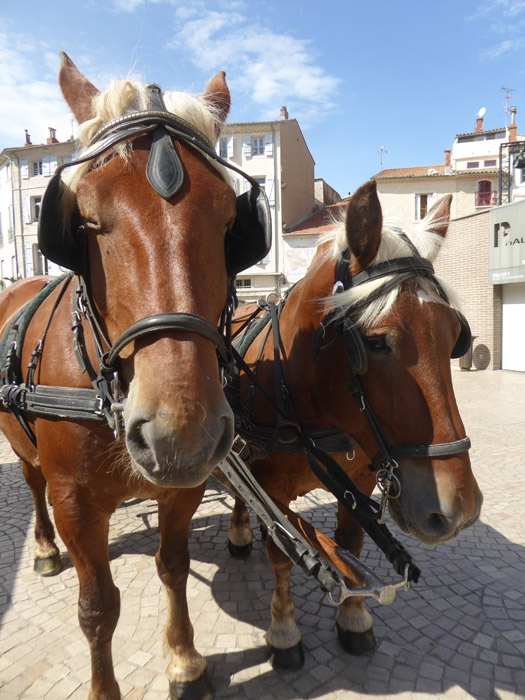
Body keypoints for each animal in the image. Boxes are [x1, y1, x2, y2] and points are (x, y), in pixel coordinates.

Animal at [0, 53, 266, 700]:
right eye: (84, 220)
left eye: (232, 223)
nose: (181, 433)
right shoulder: (75, 502)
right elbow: (97, 607)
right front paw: (105, 688)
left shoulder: (184, 487)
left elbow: (172, 569)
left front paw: (185, 660)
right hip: (21, 448)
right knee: (33, 485)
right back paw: (43, 549)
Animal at [226, 180, 484, 668]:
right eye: (376, 342)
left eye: (454, 336)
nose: (458, 508)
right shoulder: (271, 485)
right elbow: (282, 550)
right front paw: (284, 630)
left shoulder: (360, 480)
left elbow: (350, 543)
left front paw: (354, 618)